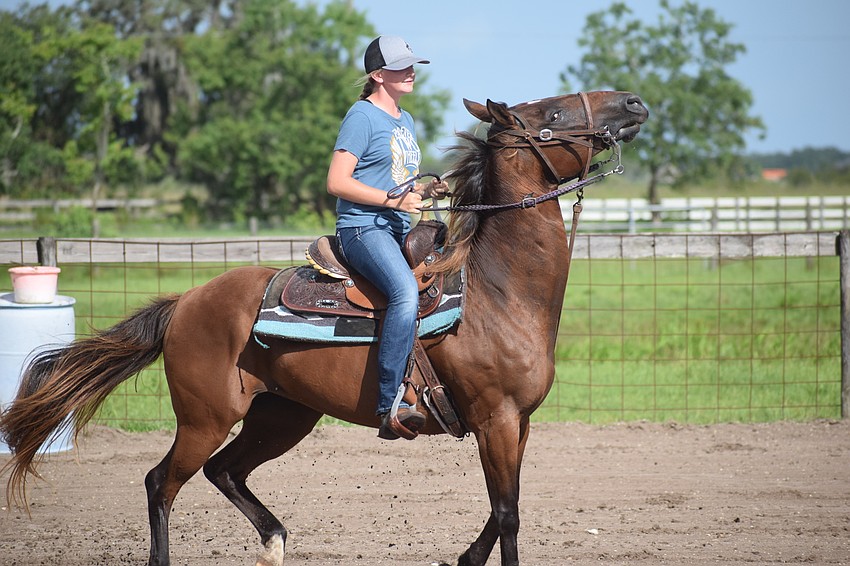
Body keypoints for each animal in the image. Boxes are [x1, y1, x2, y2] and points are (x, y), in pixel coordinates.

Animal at [1, 90, 647, 566]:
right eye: (554, 115)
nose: (633, 102)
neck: (495, 292)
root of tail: (188, 301)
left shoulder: (519, 424)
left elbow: (500, 508)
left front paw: (465, 558)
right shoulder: (497, 418)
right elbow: (508, 513)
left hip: (282, 415)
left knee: (224, 471)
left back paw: (274, 543)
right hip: (206, 418)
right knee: (162, 482)